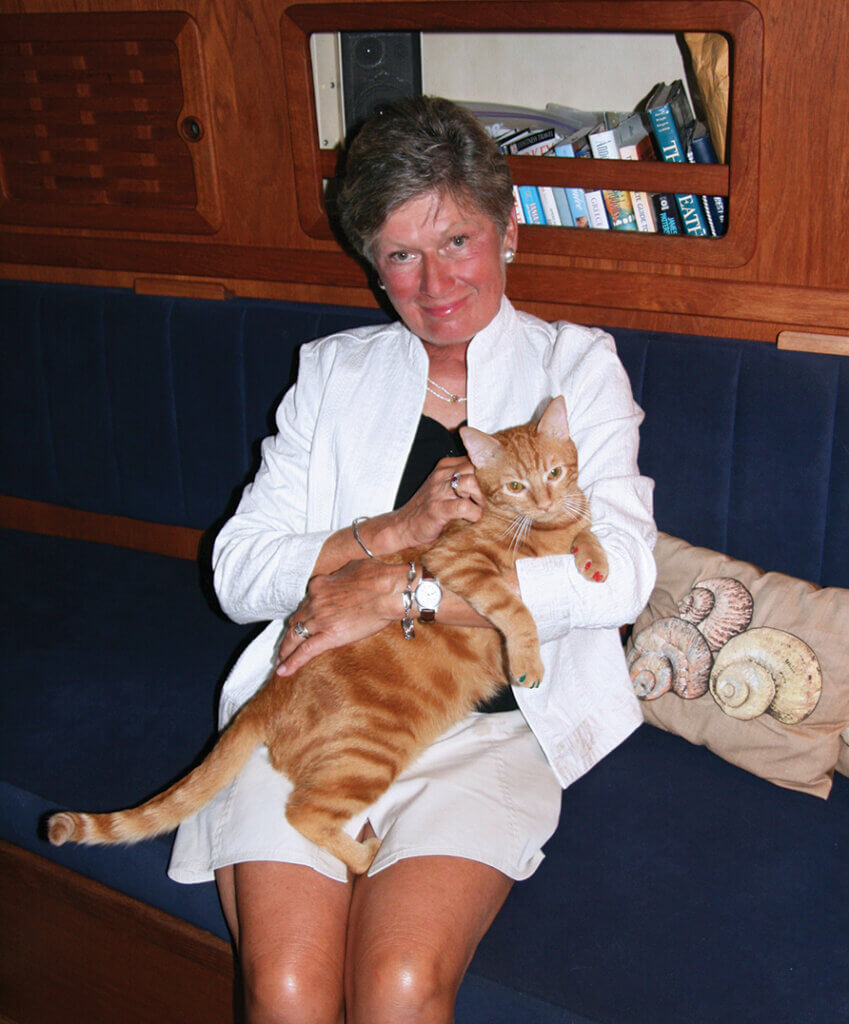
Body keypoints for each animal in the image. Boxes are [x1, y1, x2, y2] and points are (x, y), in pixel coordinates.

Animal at [46, 395, 606, 876]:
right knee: (303, 812)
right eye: (515, 487)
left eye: (554, 472)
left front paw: (594, 559)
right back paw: (365, 856)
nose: (546, 499)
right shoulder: (459, 564)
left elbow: (588, 528)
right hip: (369, 756)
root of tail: (265, 694)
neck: (537, 530)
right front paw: (529, 661)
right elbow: (517, 609)